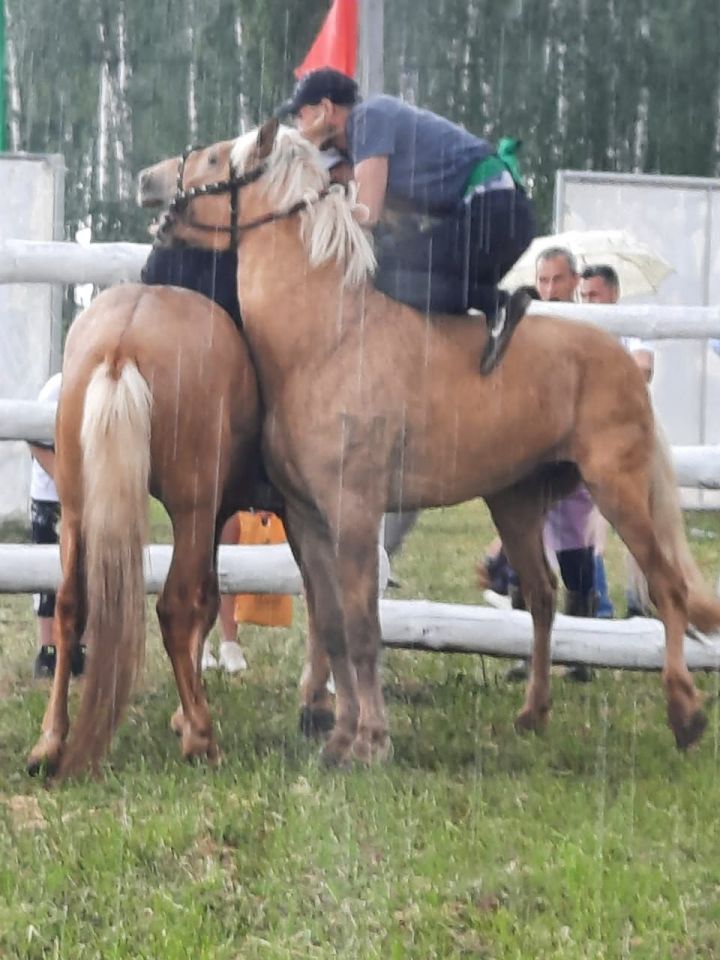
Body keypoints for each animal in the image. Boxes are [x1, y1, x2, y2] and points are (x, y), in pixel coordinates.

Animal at [28, 270, 264, 780]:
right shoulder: (211, 515)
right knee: (175, 607)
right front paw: (187, 718)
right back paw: (202, 739)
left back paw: (50, 743)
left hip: (76, 511)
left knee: (69, 606)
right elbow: (205, 601)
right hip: (190, 511)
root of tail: (122, 343)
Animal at [139, 122, 720, 764]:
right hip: (515, 502)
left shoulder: (355, 515)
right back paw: (533, 713)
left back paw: (685, 713)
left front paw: (369, 741)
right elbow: (332, 627)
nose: (146, 180)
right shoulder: (309, 518)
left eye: (217, 158)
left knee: (665, 586)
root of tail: (622, 359)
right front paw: (338, 736)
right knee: (542, 597)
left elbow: (363, 629)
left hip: (619, 487)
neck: (327, 340)